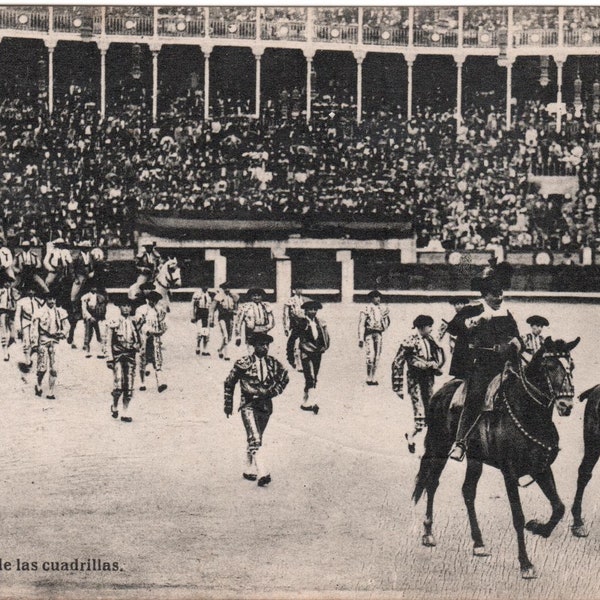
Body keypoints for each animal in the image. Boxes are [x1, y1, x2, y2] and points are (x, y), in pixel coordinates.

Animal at [414, 338, 580, 576]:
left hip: (474, 458)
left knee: (467, 492)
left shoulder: (540, 469)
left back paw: (478, 543)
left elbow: (558, 507)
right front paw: (525, 563)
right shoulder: (509, 473)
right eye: (549, 367)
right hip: (439, 446)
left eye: (571, 366)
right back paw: (428, 533)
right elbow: (518, 517)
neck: (527, 414)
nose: (566, 405)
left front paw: (538, 528)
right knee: (432, 482)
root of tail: (441, 391)